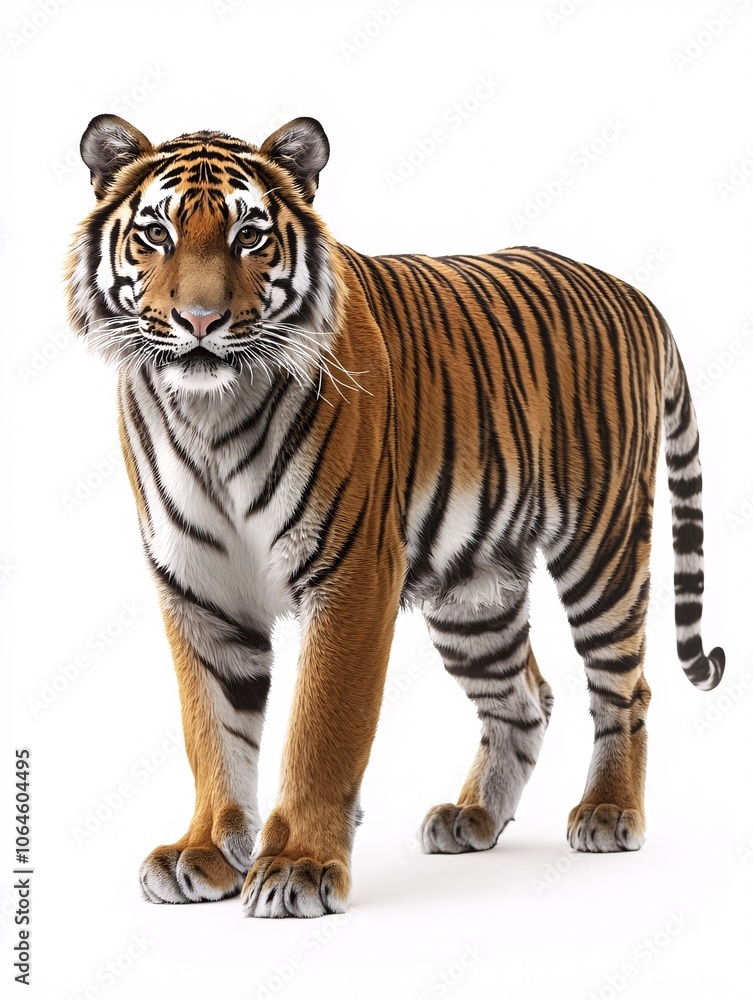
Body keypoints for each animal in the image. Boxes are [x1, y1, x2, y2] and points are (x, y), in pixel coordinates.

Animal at [65, 113, 725, 919]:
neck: (209, 412)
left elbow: (322, 729)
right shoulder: (196, 587)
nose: (199, 320)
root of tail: (633, 293)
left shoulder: (351, 575)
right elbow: (210, 730)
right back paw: (472, 816)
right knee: (523, 697)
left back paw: (607, 811)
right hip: (475, 591)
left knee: (625, 687)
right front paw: (205, 850)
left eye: (249, 236)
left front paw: (298, 866)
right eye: (155, 234)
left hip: (602, 547)